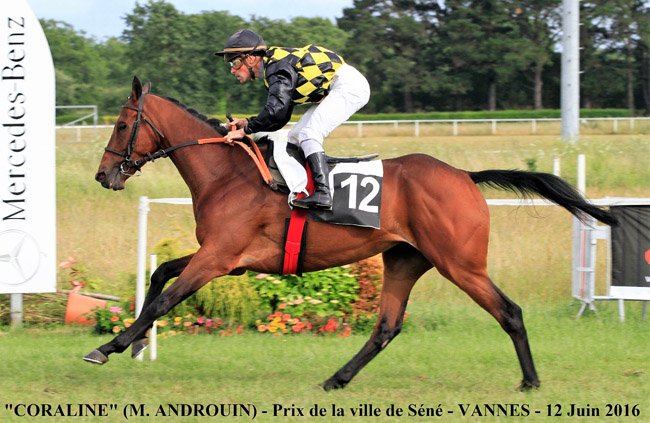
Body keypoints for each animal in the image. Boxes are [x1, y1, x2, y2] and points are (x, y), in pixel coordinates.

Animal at [87, 77, 616, 391]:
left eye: (122, 123)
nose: (104, 176)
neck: (228, 174)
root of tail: (465, 176)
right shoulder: (224, 258)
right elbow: (159, 274)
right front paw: (137, 342)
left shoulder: (219, 257)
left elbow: (164, 298)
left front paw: (110, 346)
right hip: (405, 259)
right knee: (386, 327)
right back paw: (336, 379)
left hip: (460, 263)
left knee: (509, 311)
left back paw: (530, 381)